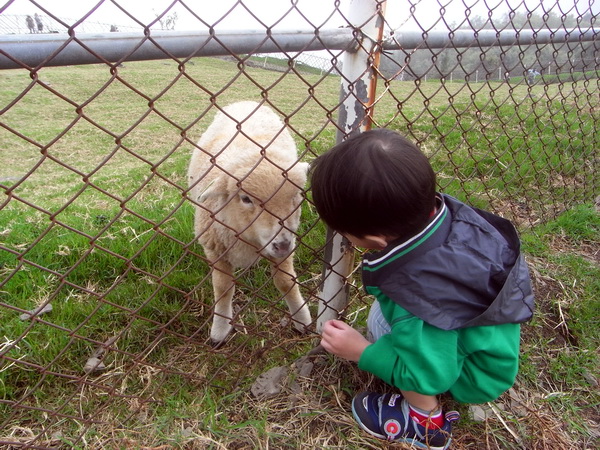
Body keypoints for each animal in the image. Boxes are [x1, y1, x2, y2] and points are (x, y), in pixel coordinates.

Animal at [188, 100, 312, 342]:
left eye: (296, 196)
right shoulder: (215, 248)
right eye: (246, 199)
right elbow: (223, 288)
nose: (283, 245)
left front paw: (302, 318)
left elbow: (286, 283)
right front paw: (219, 329)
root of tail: (246, 102)